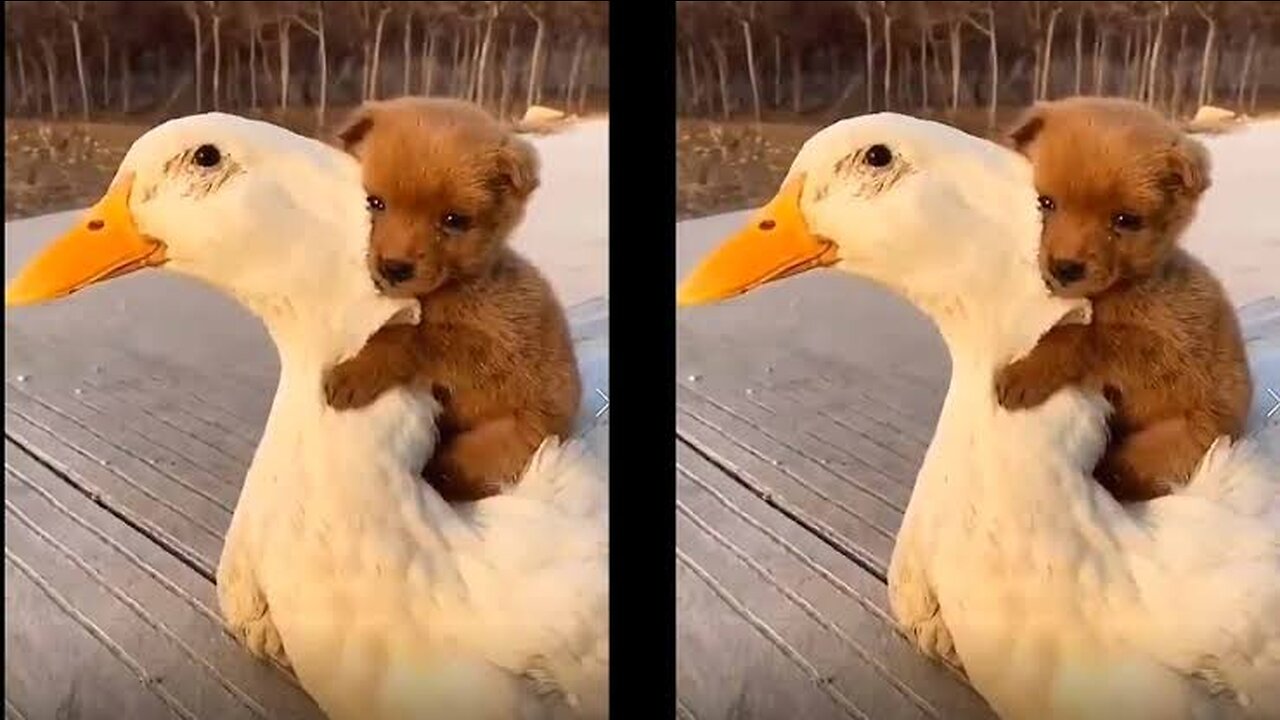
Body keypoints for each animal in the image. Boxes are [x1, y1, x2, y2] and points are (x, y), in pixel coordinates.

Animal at [322, 96, 583, 499]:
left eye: (454, 220)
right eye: (375, 202)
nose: (394, 268)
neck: (458, 285)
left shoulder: (491, 347)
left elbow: (411, 336)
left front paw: (355, 373)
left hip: (503, 441)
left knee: (455, 473)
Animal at [998, 95, 1249, 499]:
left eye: (1125, 220)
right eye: (1046, 202)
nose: (1065, 268)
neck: (1125, 288)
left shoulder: (1167, 352)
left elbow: (1085, 335)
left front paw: (1026, 374)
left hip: (1175, 441)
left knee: (1125, 474)